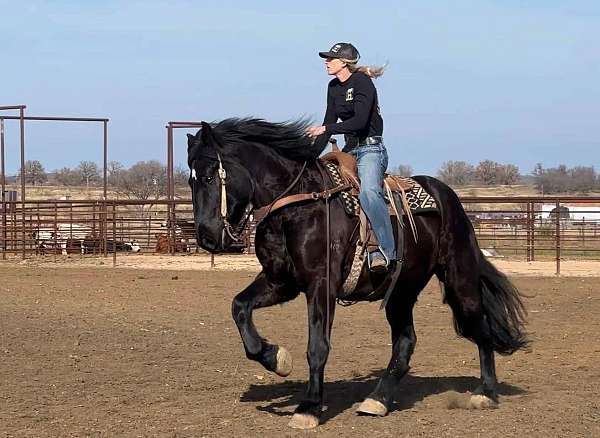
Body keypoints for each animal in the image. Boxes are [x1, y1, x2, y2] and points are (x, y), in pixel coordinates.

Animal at [186, 118, 524, 430]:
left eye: (208, 176)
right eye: (190, 181)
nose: (206, 236)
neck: (297, 205)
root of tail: (447, 197)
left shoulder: (321, 285)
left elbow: (317, 347)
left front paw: (309, 408)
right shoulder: (280, 282)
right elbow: (239, 307)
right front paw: (276, 358)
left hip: (458, 278)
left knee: (479, 327)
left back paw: (486, 392)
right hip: (401, 291)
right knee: (406, 341)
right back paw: (378, 399)